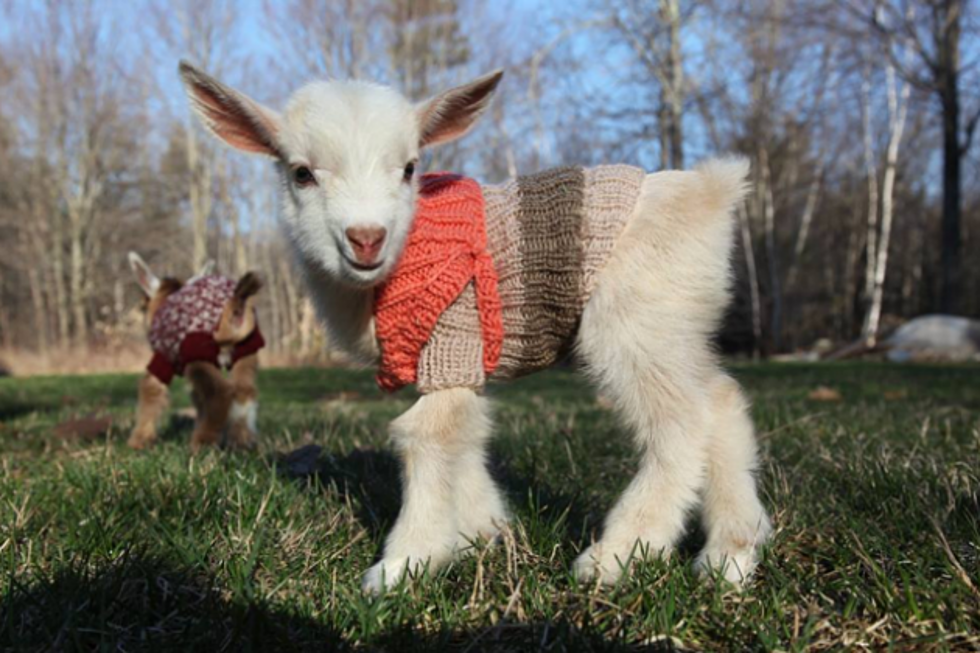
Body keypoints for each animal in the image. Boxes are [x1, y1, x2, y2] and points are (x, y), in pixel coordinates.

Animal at [178, 59, 772, 592]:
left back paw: (617, 556)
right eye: (301, 173)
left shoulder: (452, 335)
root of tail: (711, 193)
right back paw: (732, 555)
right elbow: (466, 434)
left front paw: (404, 564)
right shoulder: (455, 362)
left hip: (633, 321)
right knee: (720, 401)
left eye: (410, 167)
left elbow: (428, 434)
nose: (366, 238)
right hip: (676, 324)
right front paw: (483, 531)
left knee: (681, 421)